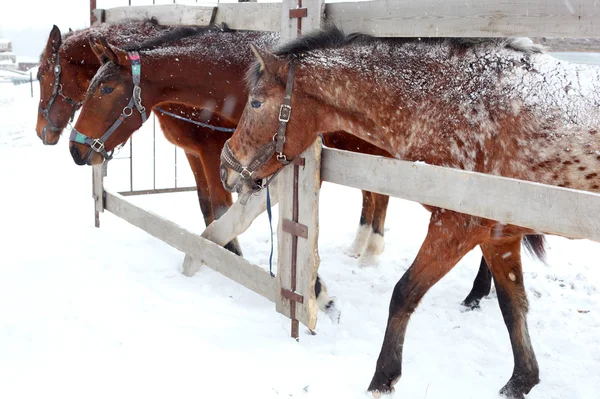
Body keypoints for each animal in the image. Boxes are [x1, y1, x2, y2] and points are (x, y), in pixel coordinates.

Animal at [216, 26, 596, 398]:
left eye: (256, 102)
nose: (225, 169)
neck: (459, 100)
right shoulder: (499, 234)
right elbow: (512, 305)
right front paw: (520, 381)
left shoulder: (457, 226)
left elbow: (404, 293)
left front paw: (383, 378)